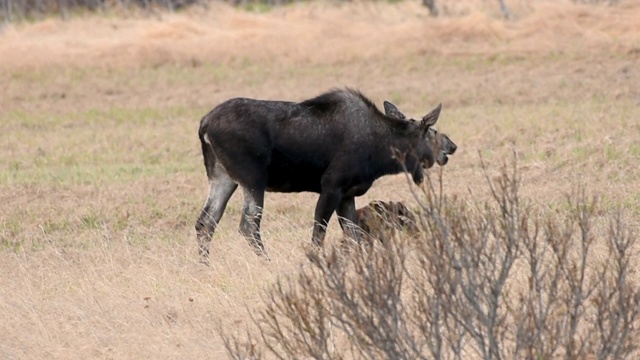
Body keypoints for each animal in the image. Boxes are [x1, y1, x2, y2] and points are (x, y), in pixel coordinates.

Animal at [194, 88, 456, 262]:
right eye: (432, 132)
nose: (452, 145)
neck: (382, 151)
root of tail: (204, 124)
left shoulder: (347, 195)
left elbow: (354, 236)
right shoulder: (332, 186)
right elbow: (319, 234)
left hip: (222, 178)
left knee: (205, 223)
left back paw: (204, 266)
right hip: (253, 180)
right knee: (248, 225)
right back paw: (265, 263)